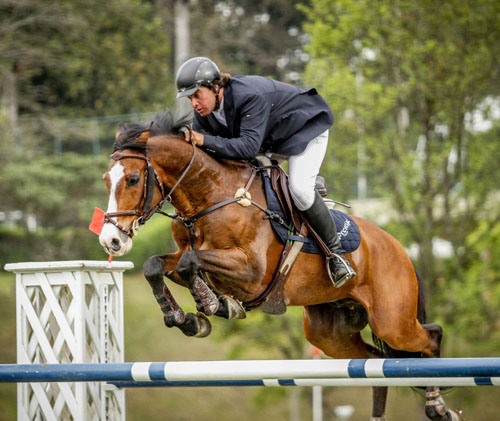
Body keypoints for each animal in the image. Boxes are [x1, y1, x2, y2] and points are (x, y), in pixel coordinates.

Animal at [99, 110, 462, 420]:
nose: (111, 241)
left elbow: (192, 265)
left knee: (430, 337)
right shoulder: (188, 258)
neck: (212, 196)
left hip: (392, 321)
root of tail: (400, 250)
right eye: (106, 180)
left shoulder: (252, 272)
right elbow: (155, 265)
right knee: (378, 362)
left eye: (133, 179)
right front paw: (186, 318)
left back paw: (438, 407)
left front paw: (213, 305)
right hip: (329, 333)